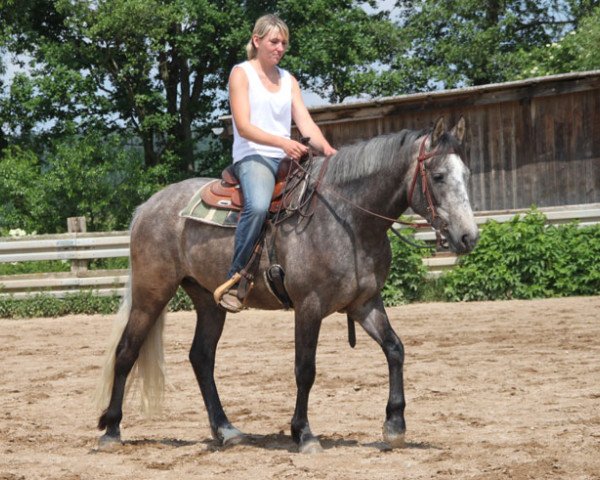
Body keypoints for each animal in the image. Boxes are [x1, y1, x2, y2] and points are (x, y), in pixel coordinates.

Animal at [95, 116, 478, 454]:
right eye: (438, 175)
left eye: (467, 175)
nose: (468, 236)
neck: (348, 219)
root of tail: (148, 206)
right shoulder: (309, 306)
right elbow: (305, 369)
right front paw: (304, 434)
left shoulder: (364, 302)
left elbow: (395, 349)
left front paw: (395, 425)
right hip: (152, 293)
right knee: (126, 351)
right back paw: (111, 430)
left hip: (207, 300)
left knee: (201, 358)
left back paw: (227, 431)